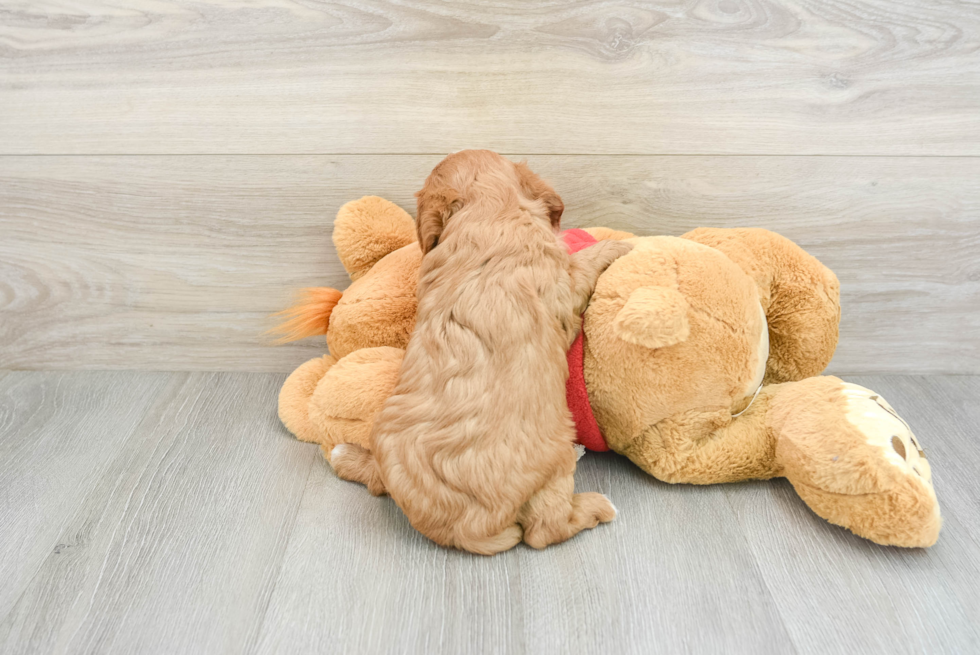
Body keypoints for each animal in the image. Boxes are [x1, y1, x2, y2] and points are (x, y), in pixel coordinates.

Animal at [334, 150, 632, 552]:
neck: (487, 210)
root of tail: (466, 529)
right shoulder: (562, 283)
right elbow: (582, 264)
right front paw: (618, 245)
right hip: (552, 465)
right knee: (545, 529)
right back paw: (597, 504)